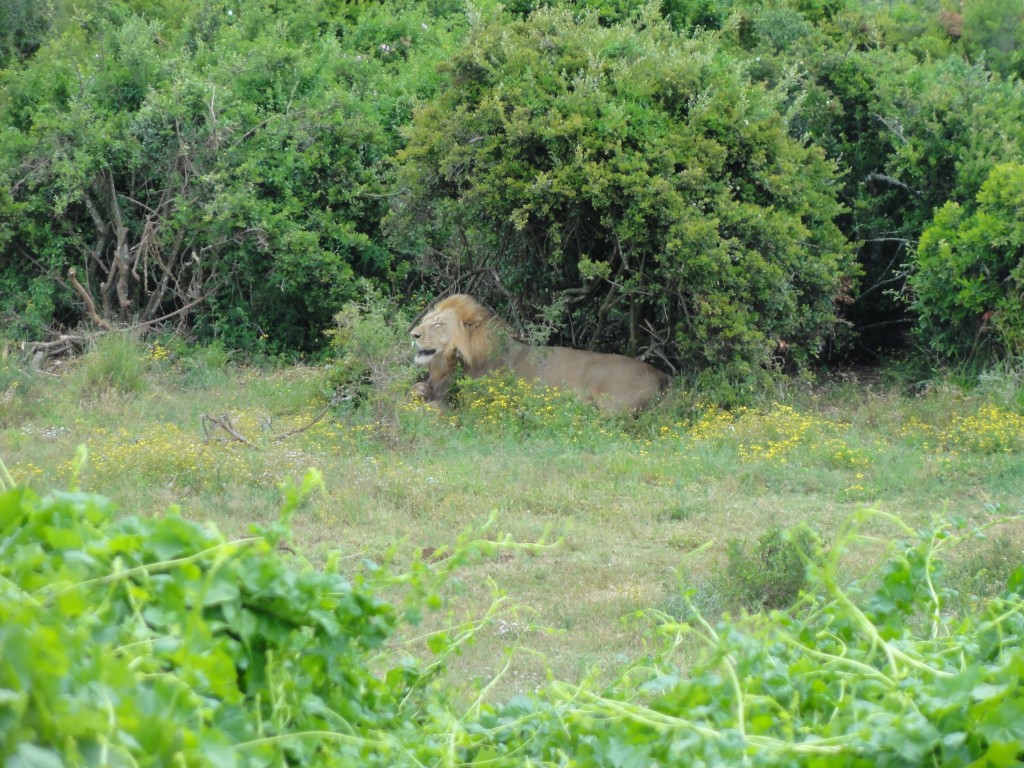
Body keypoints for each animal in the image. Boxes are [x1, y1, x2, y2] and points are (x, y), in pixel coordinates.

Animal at [410, 294, 670, 413]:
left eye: (438, 324)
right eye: (428, 320)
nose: (413, 334)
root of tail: (661, 375)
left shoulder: (477, 404)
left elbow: (438, 407)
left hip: (612, 406)